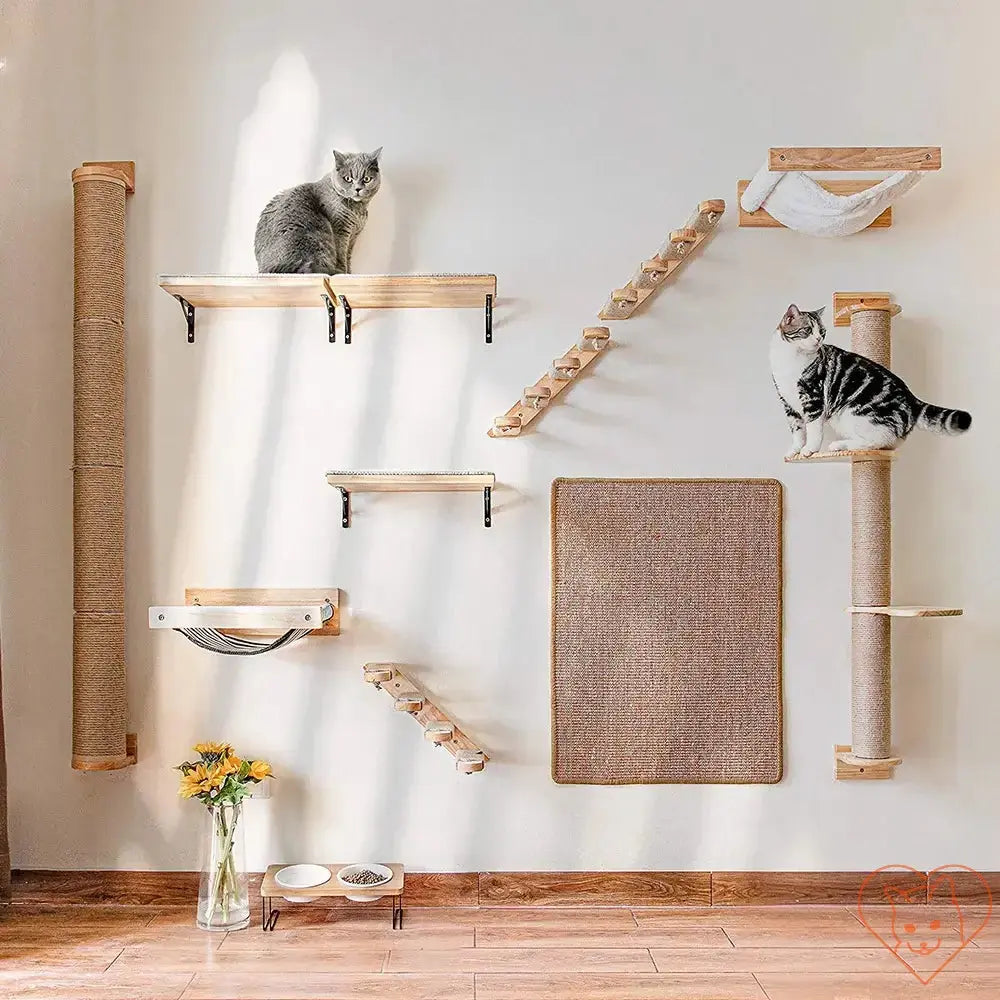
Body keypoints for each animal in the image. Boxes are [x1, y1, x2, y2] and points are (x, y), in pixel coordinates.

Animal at [254, 146, 382, 276]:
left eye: (367, 179)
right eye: (348, 179)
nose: (358, 189)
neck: (358, 211)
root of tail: (270, 269)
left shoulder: (353, 236)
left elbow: (348, 256)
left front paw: (350, 273)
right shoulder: (340, 230)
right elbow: (341, 255)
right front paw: (343, 273)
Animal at [768, 302, 972, 458]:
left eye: (822, 332)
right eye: (808, 330)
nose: (818, 339)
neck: (790, 358)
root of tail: (911, 398)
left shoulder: (813, 397)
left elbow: (813, 429)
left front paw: (809, 449)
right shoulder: (787, 403)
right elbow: (797, 430)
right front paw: (794, 451)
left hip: (852, 412)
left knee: (878, 442)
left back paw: (840, 445)